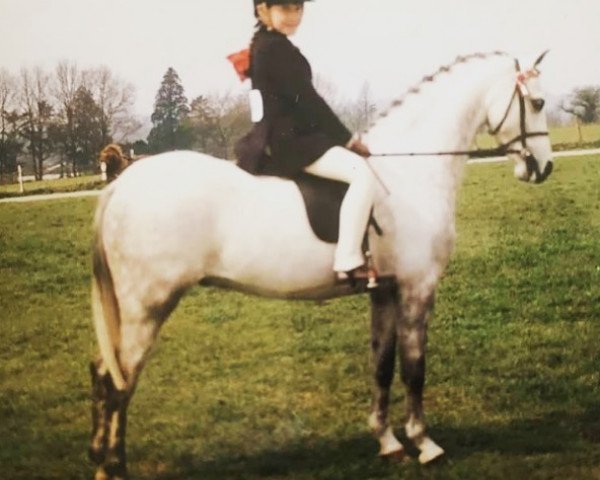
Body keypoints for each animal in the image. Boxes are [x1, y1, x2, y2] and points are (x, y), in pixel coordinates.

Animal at [88, 50, 552, 478]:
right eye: (539, 102)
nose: (543, 168)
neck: (407, 174)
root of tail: (121, 185)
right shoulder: (417, 288)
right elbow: (414, 368)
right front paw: (424, 443)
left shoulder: (384, 291)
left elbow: (382, 366)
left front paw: (387, 441)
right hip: (147, 309)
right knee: (119, 383)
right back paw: (114, 466)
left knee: (103, 373)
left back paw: (99, 459)